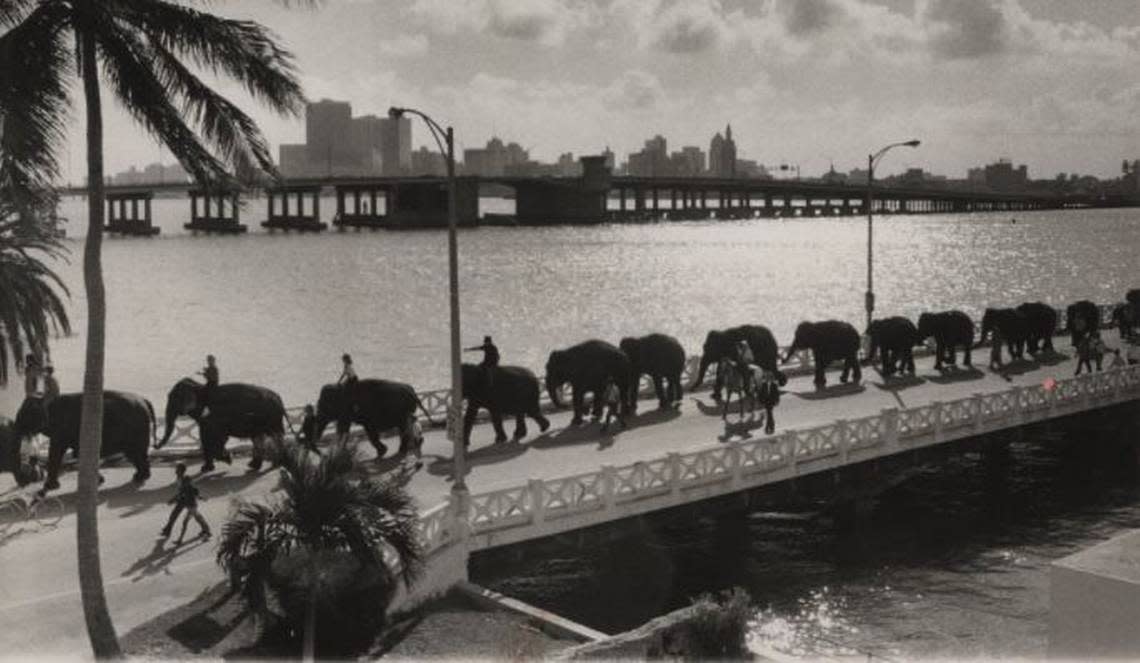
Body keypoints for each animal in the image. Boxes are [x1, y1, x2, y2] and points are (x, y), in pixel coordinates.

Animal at [6, 394, 156, 494]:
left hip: (137, 428)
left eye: (24, 415)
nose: (24, 483)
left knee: (136, 453)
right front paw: (99, 481)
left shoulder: (61, 429)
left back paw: (140, 477)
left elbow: (56, 452)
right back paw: (140, 476)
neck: (46, 399)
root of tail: (145, 400)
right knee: (135, 454)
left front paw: (50, 487)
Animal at [156, 380, 287, 473]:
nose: (155, 445)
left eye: (175, 398)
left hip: (272, 419)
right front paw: (207, 468)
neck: (199, 386)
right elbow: (207, 438)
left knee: (274, 436)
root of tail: (279, 399)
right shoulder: (206, 420)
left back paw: (275, 464)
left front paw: (227, 459)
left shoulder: (214, 418)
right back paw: (254, 466)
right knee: (260, 438)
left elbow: (218, 437)